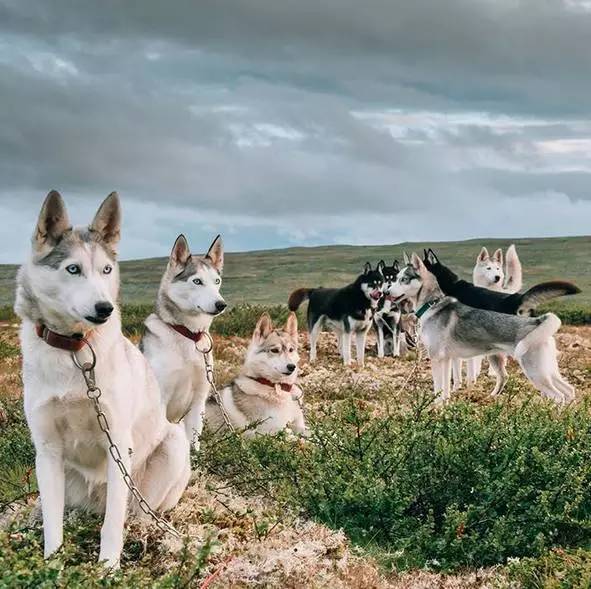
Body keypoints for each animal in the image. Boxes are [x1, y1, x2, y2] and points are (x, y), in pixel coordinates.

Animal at [15, 191, 190, 568]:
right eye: (73, 269)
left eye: (106, 270)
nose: (105, 308)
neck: (74, 350)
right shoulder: (47, 450)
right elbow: (53, 525)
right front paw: (52, 567)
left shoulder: (117, 444)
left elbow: (112, 525)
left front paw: (108, 568)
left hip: (171, 446)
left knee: (134, 512)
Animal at [141, 234, 227, 450]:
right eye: (197, 281)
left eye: (217, 281)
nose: (221, 304)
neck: (188, 335)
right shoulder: (161, 400)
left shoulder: (198, 402)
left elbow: (193, 442)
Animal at [386, 253, 576, 404]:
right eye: (395, 278)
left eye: (403, 279)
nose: (386, 292)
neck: (432, 305)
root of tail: (537, 321)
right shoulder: (447, 360)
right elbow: (446, 389)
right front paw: (443, 407)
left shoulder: (437, 359)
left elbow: (438, 389)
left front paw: (436, 409)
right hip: (549, 371)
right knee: (569, 391)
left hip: (536, 373)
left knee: (559, 396)